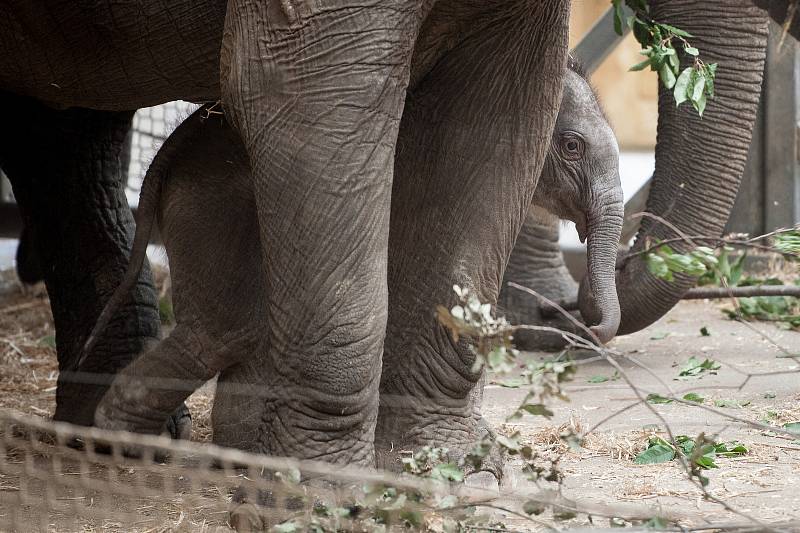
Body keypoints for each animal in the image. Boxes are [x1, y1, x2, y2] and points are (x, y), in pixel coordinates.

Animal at [89, 58, 624, 448]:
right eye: (572, 146)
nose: (585, 323)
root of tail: (167, 151)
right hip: (211, 204)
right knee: (224, 329)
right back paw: (127, 446)